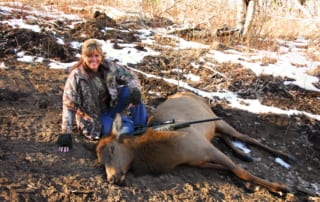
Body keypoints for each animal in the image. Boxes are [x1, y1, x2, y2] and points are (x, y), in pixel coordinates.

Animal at [95, 91, 296, 194]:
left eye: (112, 149)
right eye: (100, 160)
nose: (112, 179)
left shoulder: (206, 148)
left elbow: (241, 172)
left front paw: (279, 187)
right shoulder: (199, 160)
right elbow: (230, 170)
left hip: (217, 119)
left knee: (245, 137)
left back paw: (285, 155)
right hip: (213, 127)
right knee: (222, 136)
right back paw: (242, 154)